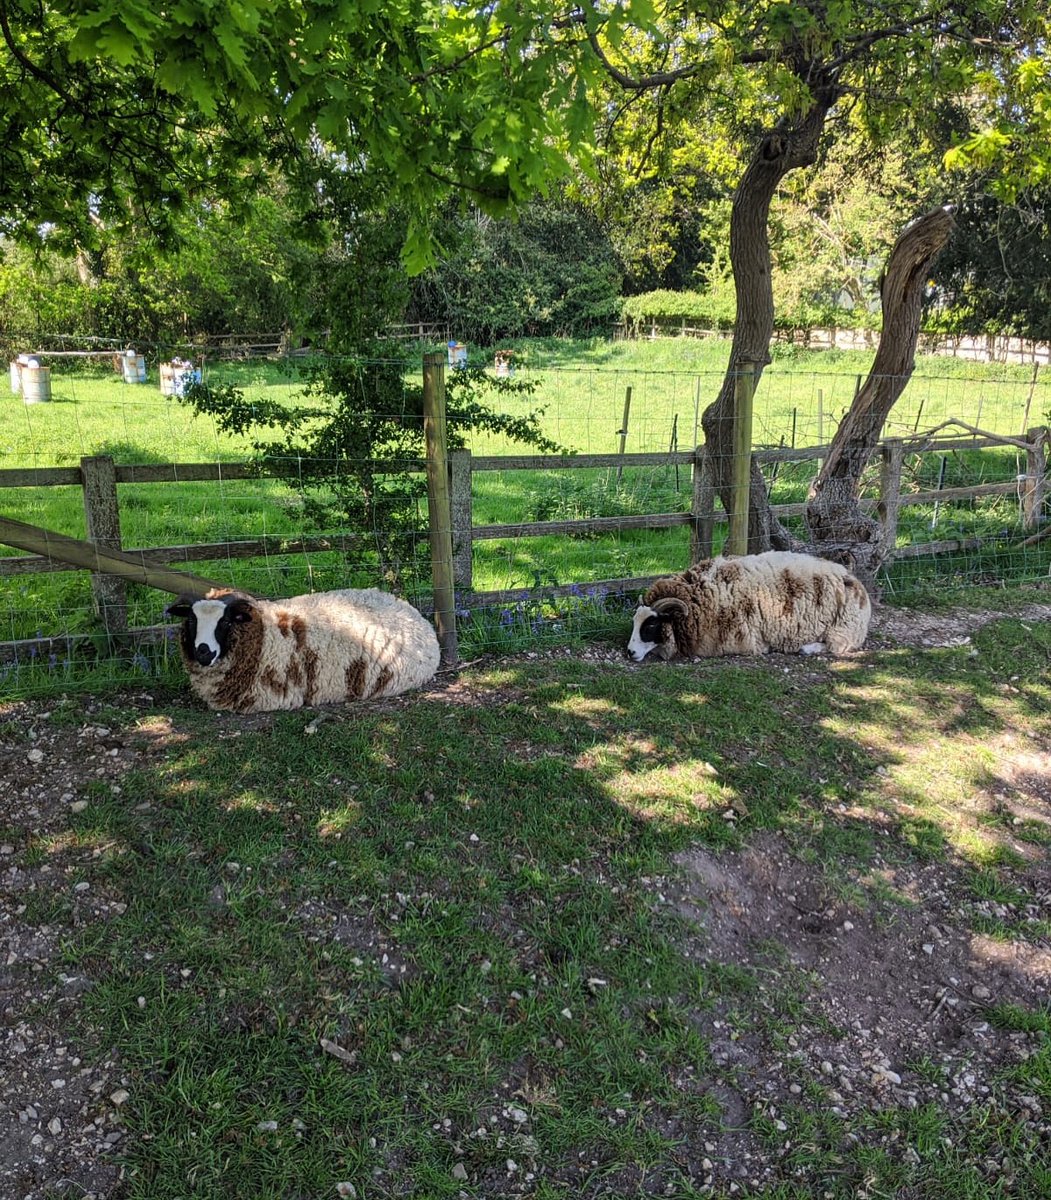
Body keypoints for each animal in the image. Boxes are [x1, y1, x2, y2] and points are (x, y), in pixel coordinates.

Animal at [626, 551, 871, 662]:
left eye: (651, 626)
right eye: (634, 623)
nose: (629, 652)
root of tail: (855, 580)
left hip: (844, 629)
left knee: (837, 646)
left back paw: (807, 647)